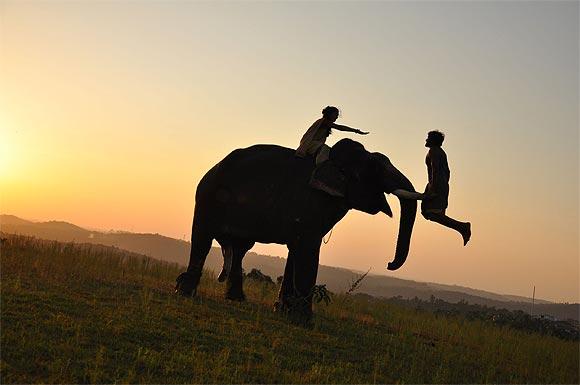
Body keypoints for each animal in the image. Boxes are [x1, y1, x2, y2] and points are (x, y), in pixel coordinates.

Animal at [177, 138, 416, 318]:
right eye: (374, 167)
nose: (389, 264)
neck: (330, 158)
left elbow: (296, 249)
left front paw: (283, 310)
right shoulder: (308, 203)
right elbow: (307, 249)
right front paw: (302, 320)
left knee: (240, 249)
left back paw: (236, 298)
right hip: (207, 199)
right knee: (203, 238)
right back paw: (184, 291)